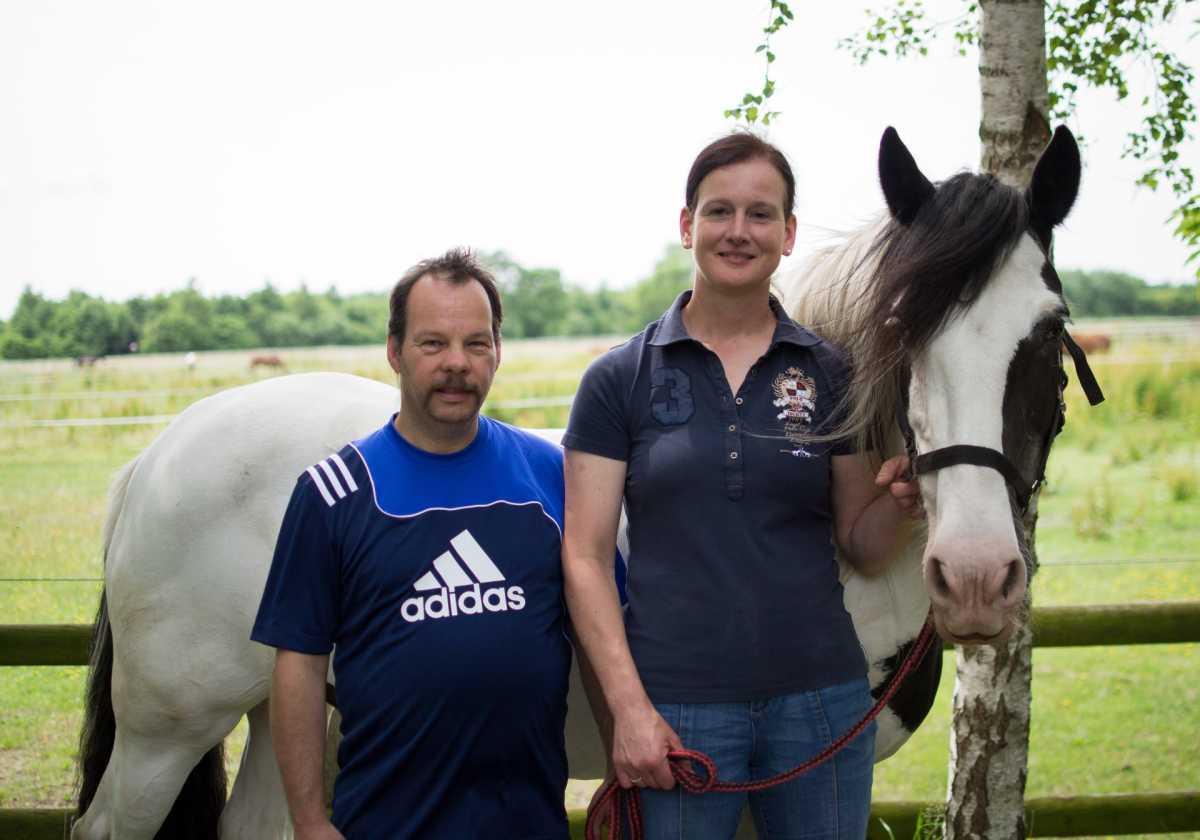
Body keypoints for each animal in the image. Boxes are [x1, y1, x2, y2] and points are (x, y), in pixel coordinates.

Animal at [68, 126, 1099, 840]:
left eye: (1048, 331)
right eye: (899, 328)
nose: (976, 577)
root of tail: (156, 459)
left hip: (280, 711)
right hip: (166, 733)